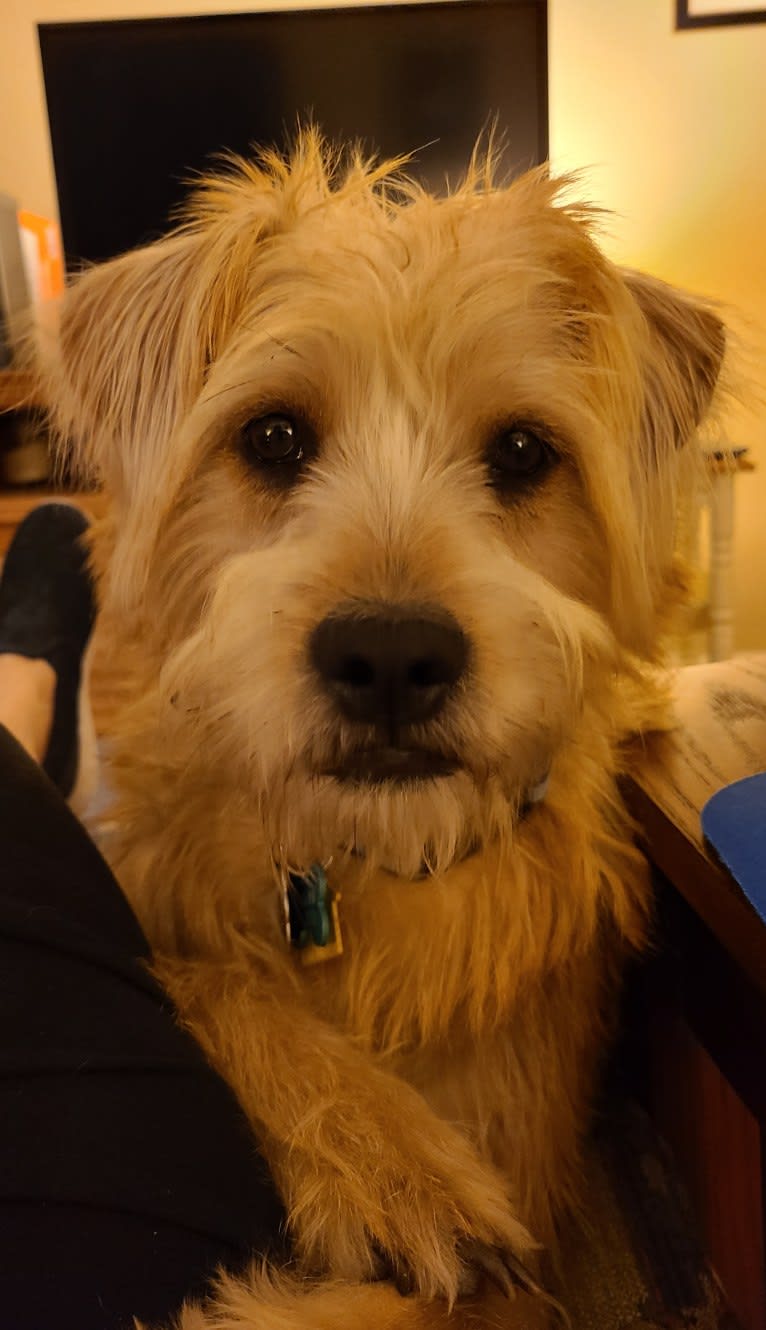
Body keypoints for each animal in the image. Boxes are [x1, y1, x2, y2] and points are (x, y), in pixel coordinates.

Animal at [39, 132, 724, 1329]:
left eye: (522, 451)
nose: (393, 659)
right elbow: (204, 975)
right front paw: (388, 1164)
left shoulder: (530, 1209)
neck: (366, 863)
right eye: (272, 435)